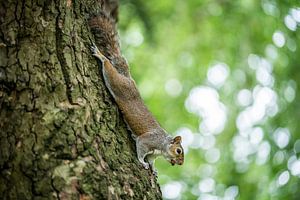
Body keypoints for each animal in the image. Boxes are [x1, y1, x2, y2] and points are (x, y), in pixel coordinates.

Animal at [88, 12, 184, 172]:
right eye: (178, 151)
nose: (181, 163)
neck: (162, 146)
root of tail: (128, 79)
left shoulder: (153, 154)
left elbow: (151, 160)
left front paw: (154, 169)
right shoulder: (147, 141)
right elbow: (141, 149)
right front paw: (142, 162)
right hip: (118, 84)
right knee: (108, 68)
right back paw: (101, 56)